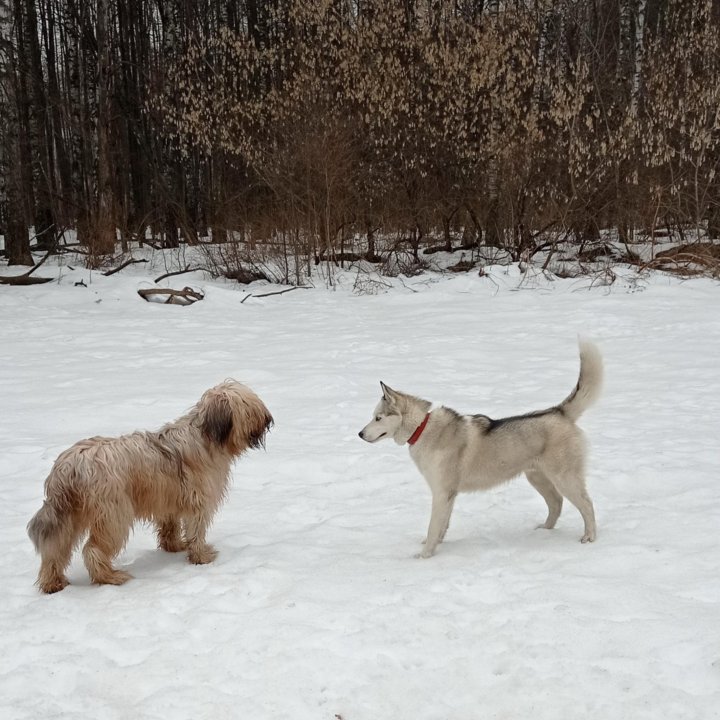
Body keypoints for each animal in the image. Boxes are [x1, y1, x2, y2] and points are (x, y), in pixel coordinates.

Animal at [27, 380, 272, 592]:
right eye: (250, 409)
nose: (269, 420)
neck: (207, 436)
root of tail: (69, 466)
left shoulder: (169, 499)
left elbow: (169, 526)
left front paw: (174, 546)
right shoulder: (199, 502)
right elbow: (196, 531)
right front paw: (201, 557)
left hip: (67, 515)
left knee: (54, 548)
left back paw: (52, 583)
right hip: (113, 514)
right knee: (92, 550)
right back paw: (110, 577)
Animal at [360, 342, 600, 556]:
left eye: (378, 418)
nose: (360, 434)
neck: (422, 427)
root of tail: (559, 412)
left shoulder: (441, 492)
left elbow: (433, 527)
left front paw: (425, 556)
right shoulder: (448, 494)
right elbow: (442, 526)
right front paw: (437, 545)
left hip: (563, 478)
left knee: (587, 504)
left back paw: (589, 537)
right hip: (537, 477)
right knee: (556, 503)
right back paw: (544, 531)